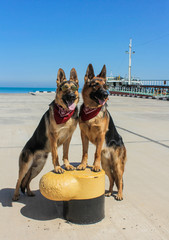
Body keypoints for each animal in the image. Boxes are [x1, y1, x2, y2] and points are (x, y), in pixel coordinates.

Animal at [12, 67, 79, 201]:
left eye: (74, 88)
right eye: (65, 88)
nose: (72, 96)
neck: (65, 114)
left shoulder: (68, 137)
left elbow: (65, 154)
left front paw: (67, 165)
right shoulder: (54, 137)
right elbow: (56, 155)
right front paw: (58, 168)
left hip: (38, 167)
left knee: (27, 180)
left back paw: (29, 192)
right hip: (26, 165)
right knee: (19, 180)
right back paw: (16, 195)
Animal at [77, 64, 126, 201]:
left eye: (106, 86)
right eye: (95, 85)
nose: (106, 95)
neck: (91, 110)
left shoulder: (101, 135)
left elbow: (96, 153)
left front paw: (95, 166)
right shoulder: (83, 135)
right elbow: (85, 152)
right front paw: (83, 165)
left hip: (117, 165)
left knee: (120, 180)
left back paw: (119, 195)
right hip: (107, 166)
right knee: (112, 179)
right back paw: (109, 192)